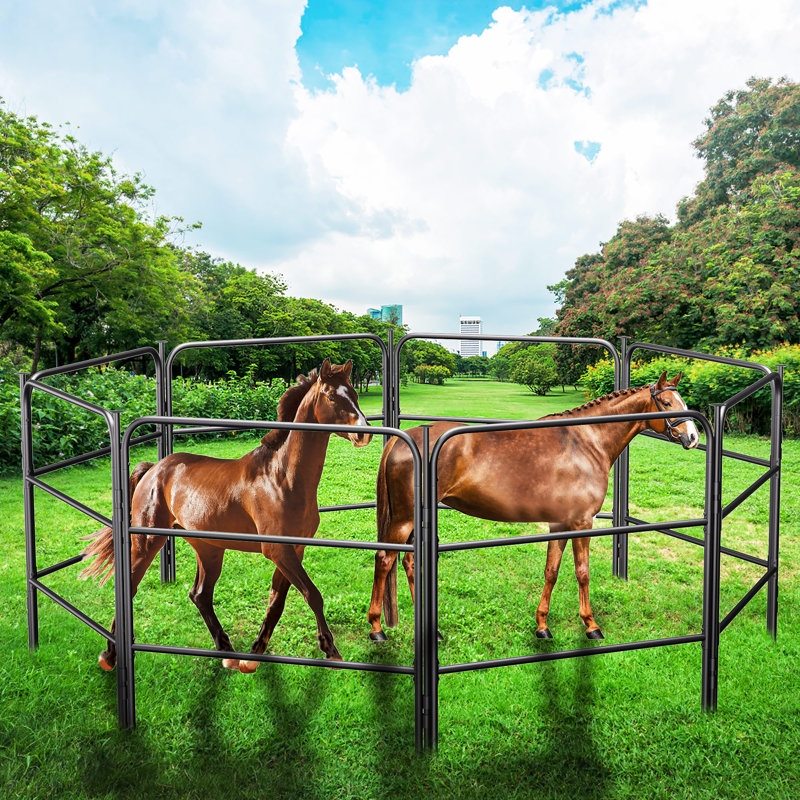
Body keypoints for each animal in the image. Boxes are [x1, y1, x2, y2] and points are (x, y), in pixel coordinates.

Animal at [81, 359, 372, 672]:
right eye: (330, 396)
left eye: (354, 393)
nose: (364, 432)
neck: (282, 478)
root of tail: (153, 469)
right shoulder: (278, 550)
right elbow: (312, 594)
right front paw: (330, 650)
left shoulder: (295, 549)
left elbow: (277, 601)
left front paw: (254, 654)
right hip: (147, 542)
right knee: (132, 589)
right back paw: (110, 656)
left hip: (208, 549)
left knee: (200, 595)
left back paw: (228, 652)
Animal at [368, 372, 699, 642]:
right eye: (667, 402)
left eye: (682, 401)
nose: (694, 437)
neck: (585, 441)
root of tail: (405, 438)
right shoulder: (582, 522)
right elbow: (582, 571)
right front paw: (591, 625)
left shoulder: (560, 523)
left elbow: (551, 570)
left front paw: (542, 625)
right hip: (404, 519)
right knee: (384, 559)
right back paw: (376, 629)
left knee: (408, 562)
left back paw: (431, 631)